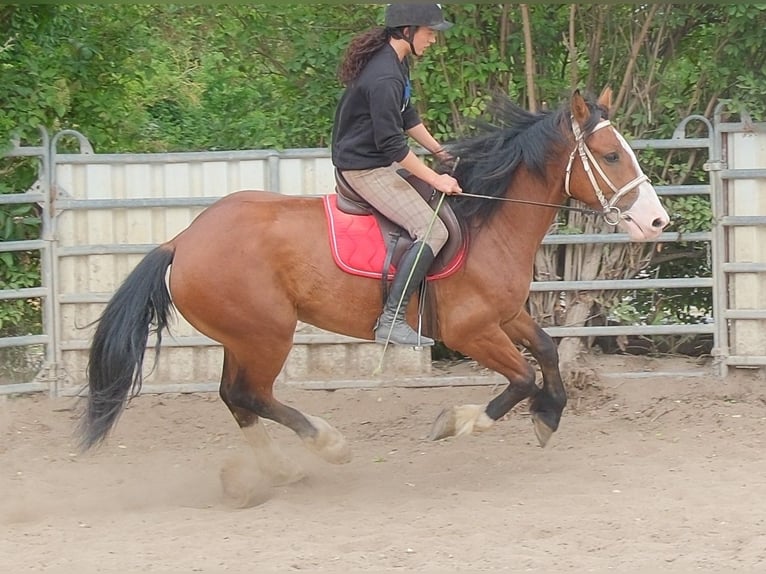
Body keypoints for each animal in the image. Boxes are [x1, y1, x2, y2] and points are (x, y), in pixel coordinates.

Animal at [79, 88, 669, 486]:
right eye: (611, 156)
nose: (657, 222)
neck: (488, 222)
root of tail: (182, 240)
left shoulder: (504, 316)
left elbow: (545, 350)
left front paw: (549, 416)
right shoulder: (472, 331)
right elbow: (522, 376)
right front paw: (460, 421)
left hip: (242, 338)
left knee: (236, 398)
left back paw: (278, 470)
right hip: (266, 335)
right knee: (250, 395)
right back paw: (327, 444)